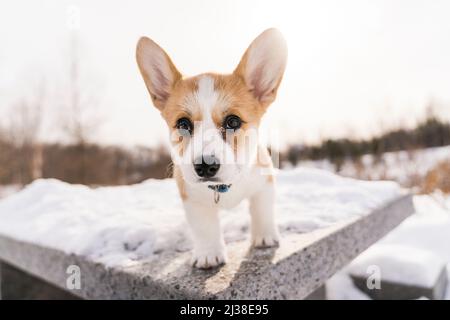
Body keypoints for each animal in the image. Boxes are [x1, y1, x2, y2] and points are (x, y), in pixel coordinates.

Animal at [135, 28, 286, 268]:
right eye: (183, 124)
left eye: (233, 121)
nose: (205, 167)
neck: (223, 187)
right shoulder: (193, 200)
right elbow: (205, 228)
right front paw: (209, 254)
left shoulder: (264, 183)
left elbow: (262, 210)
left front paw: (265, 237)